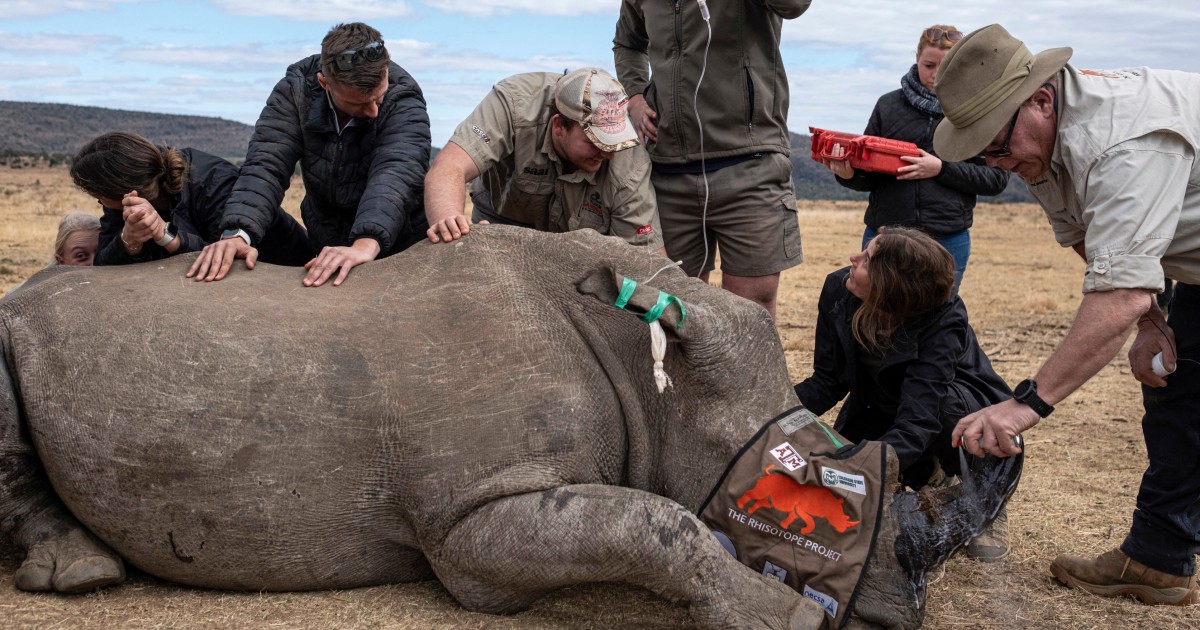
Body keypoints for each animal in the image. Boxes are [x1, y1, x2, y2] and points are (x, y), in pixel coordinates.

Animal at [0, 226, 1019, 629]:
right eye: (802, 482)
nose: (894, 616)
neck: (653, 379)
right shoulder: (468, 527)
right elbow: (654, 523)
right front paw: (787, 616)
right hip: (10, 325)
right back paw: (81, 574)